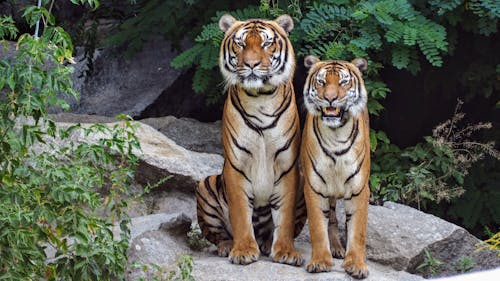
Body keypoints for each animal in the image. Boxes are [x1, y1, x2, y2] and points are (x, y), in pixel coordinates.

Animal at [194, 14, 304, 266]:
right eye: (241, 44)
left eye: (266, 43)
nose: (251, 64)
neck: (260, 98)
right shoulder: (237, 165)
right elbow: (241, 214)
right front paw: (243, 250)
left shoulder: (287, 166)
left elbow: (284, 217)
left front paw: (285, 251)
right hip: (206, 184)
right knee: (218, 234)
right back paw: (228, 246)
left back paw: (267, 243)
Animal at [298, 55, 370, 278]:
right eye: (321, 82)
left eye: (343, 82)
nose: (330, 98)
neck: (336, 134)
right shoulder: (314, 187)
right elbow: (317, 228)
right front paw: (320, 261)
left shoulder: (359, 189)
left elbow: (357, 231)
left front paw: (356, 265)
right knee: (331, 218)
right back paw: (336, 248)